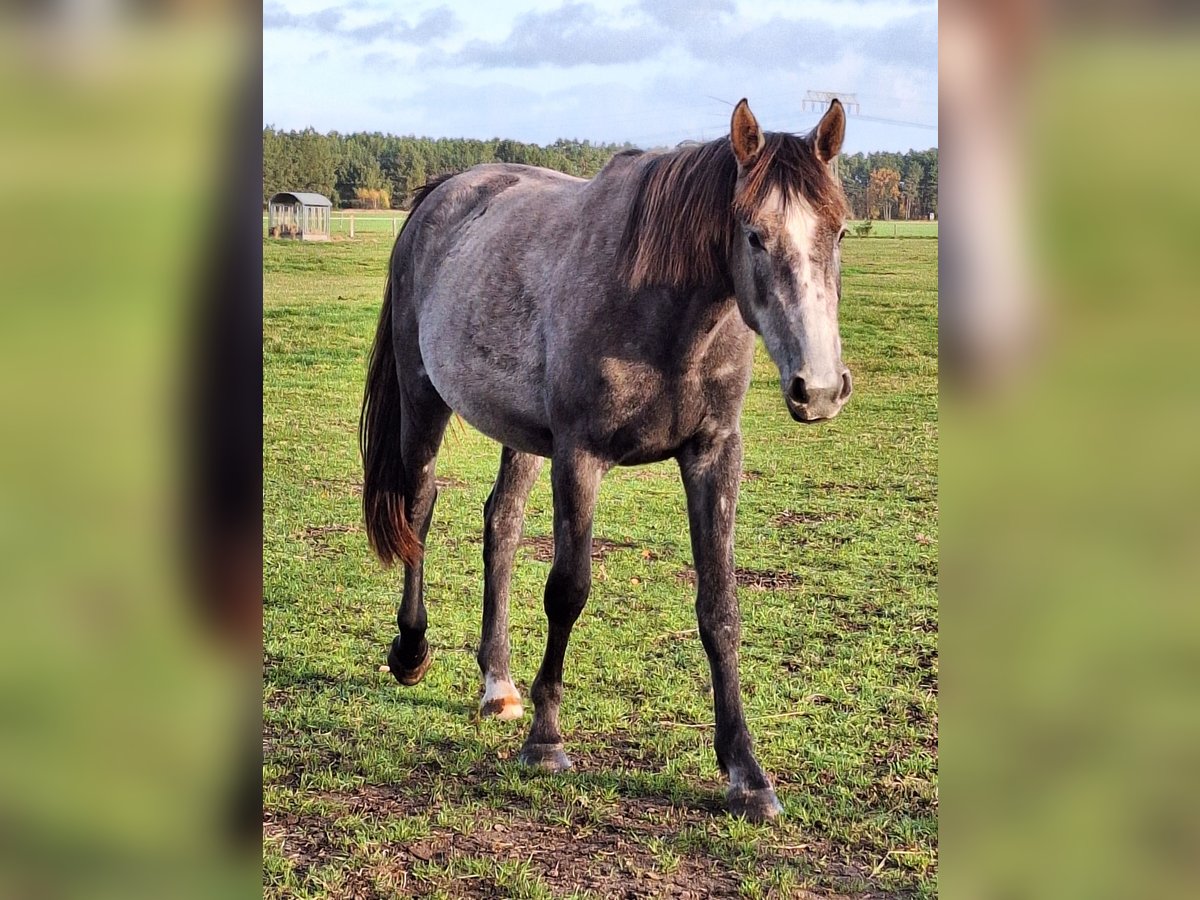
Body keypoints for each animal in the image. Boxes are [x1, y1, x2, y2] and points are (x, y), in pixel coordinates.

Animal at [360, 98, 849, 825]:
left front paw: (747, 773)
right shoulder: (579, 454)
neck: (667, 312)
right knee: (417, 509)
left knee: (501, 524)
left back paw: (498, 683)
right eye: (753, 234)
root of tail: (443, 193)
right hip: (424, 399)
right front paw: (546, 741)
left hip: (520, 434)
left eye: (839, 233)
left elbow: (720, 607)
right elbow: (568, 591)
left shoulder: (714, 455)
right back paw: (412, 651)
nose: (817, 389)